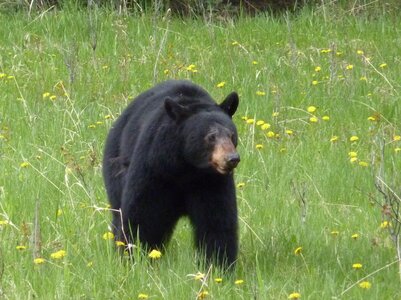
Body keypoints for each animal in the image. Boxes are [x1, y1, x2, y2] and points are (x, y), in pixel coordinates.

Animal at [103, 79, 241, 268]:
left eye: (232, 134)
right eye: (211, 136)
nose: (232, 158)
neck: (188, 167)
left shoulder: (212, 181)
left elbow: (217, 219)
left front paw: (218, 264)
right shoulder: (154, 168)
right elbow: (142, 214)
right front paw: (134, 256)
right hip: (116, 164)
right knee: (119, 211)